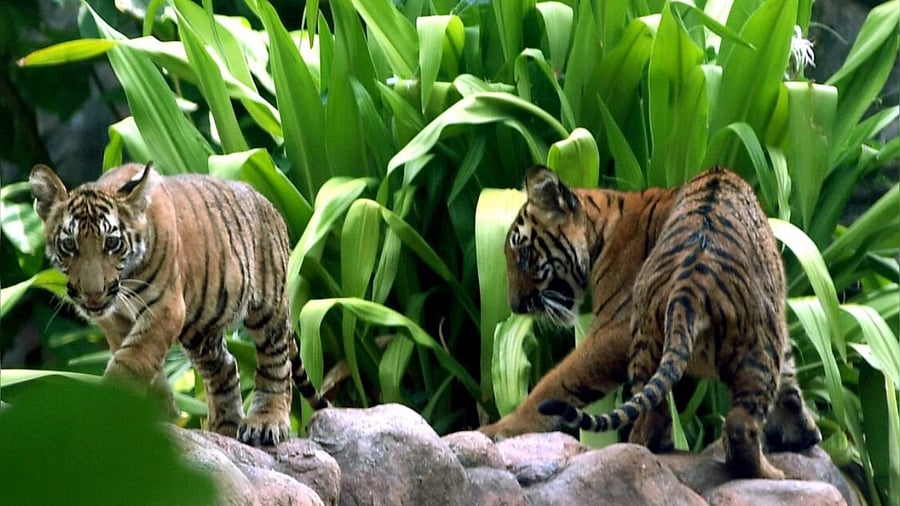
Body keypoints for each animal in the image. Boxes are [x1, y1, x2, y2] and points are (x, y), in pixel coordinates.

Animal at [29, 162, 328, 446]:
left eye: (112, 243)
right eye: (69, 245)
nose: (93, 294)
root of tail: (268, 203)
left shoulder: (166, 309)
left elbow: (132, 360)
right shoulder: (115, 319)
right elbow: (142, 362)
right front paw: (159, 412)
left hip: (268, 308)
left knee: (275, 364)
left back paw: (265, 422)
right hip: (200, 328)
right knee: (225, 367)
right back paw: (224, 429)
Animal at [479, 165, 821, 479]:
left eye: (523, 256)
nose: (515, 306)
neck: (601, 227)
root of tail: (692, 282)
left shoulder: (613, 329)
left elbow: (555, 382)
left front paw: (498, 428)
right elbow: (790, 377)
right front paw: (803, 434)